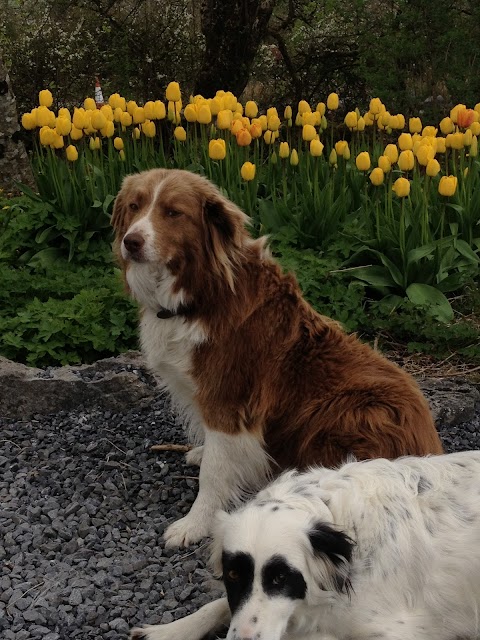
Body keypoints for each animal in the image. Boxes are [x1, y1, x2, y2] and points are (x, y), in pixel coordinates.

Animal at [111, 168, 442, 548]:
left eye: (173, 212)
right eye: (134, 206)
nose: (131, 242)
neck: (202, 292)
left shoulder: (229, 399)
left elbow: (214, 474)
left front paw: (194, 524)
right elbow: (217, 454)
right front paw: (203, 452)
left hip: (357, 410)